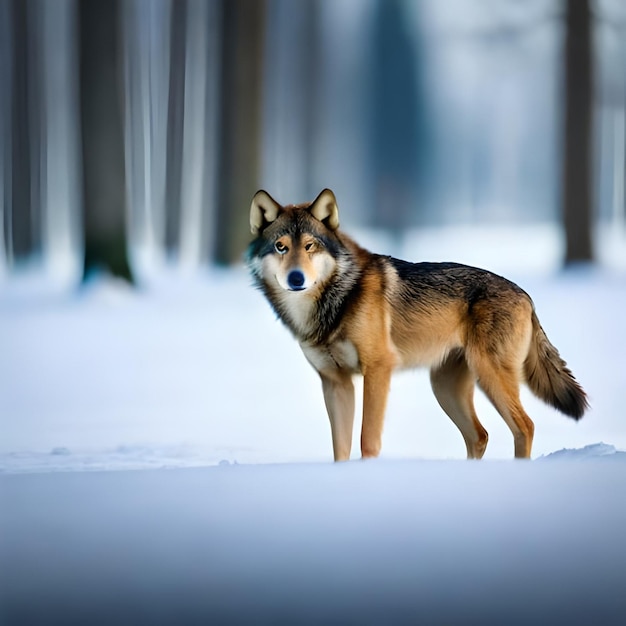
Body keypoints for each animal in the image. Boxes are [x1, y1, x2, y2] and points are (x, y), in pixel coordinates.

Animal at [245, 186, 584, 458]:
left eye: (310, 246)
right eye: (281, 247)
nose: (296, 278)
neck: (335, 300)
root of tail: (526, 296)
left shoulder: (378, 369)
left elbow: (368, 441)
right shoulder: (335, 383)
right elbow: (340, 448)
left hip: (490, 377)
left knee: (524, 427)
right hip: (445, 389)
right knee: (480, 435)